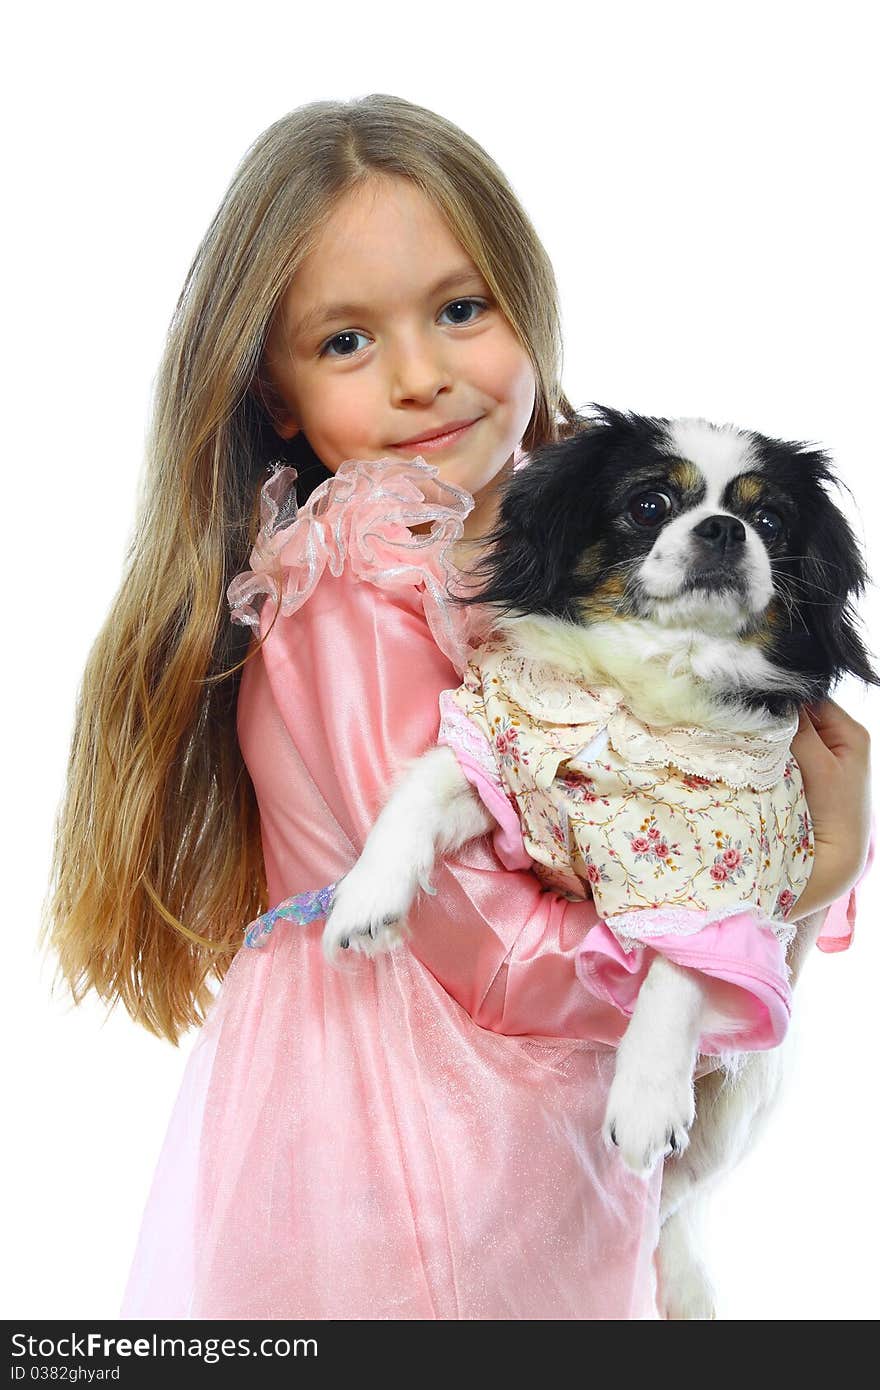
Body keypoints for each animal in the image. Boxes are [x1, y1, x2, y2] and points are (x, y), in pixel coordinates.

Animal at [319, 405, 873, 1317]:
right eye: (650, 506)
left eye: (768, 520)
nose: (723, 529)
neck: (641, 692)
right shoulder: (510, 770)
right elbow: (423, 786)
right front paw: (366, 899)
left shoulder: (733, 869)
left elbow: (680, 969)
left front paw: (645, 1100)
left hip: (743, 1098)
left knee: (675, 1209)